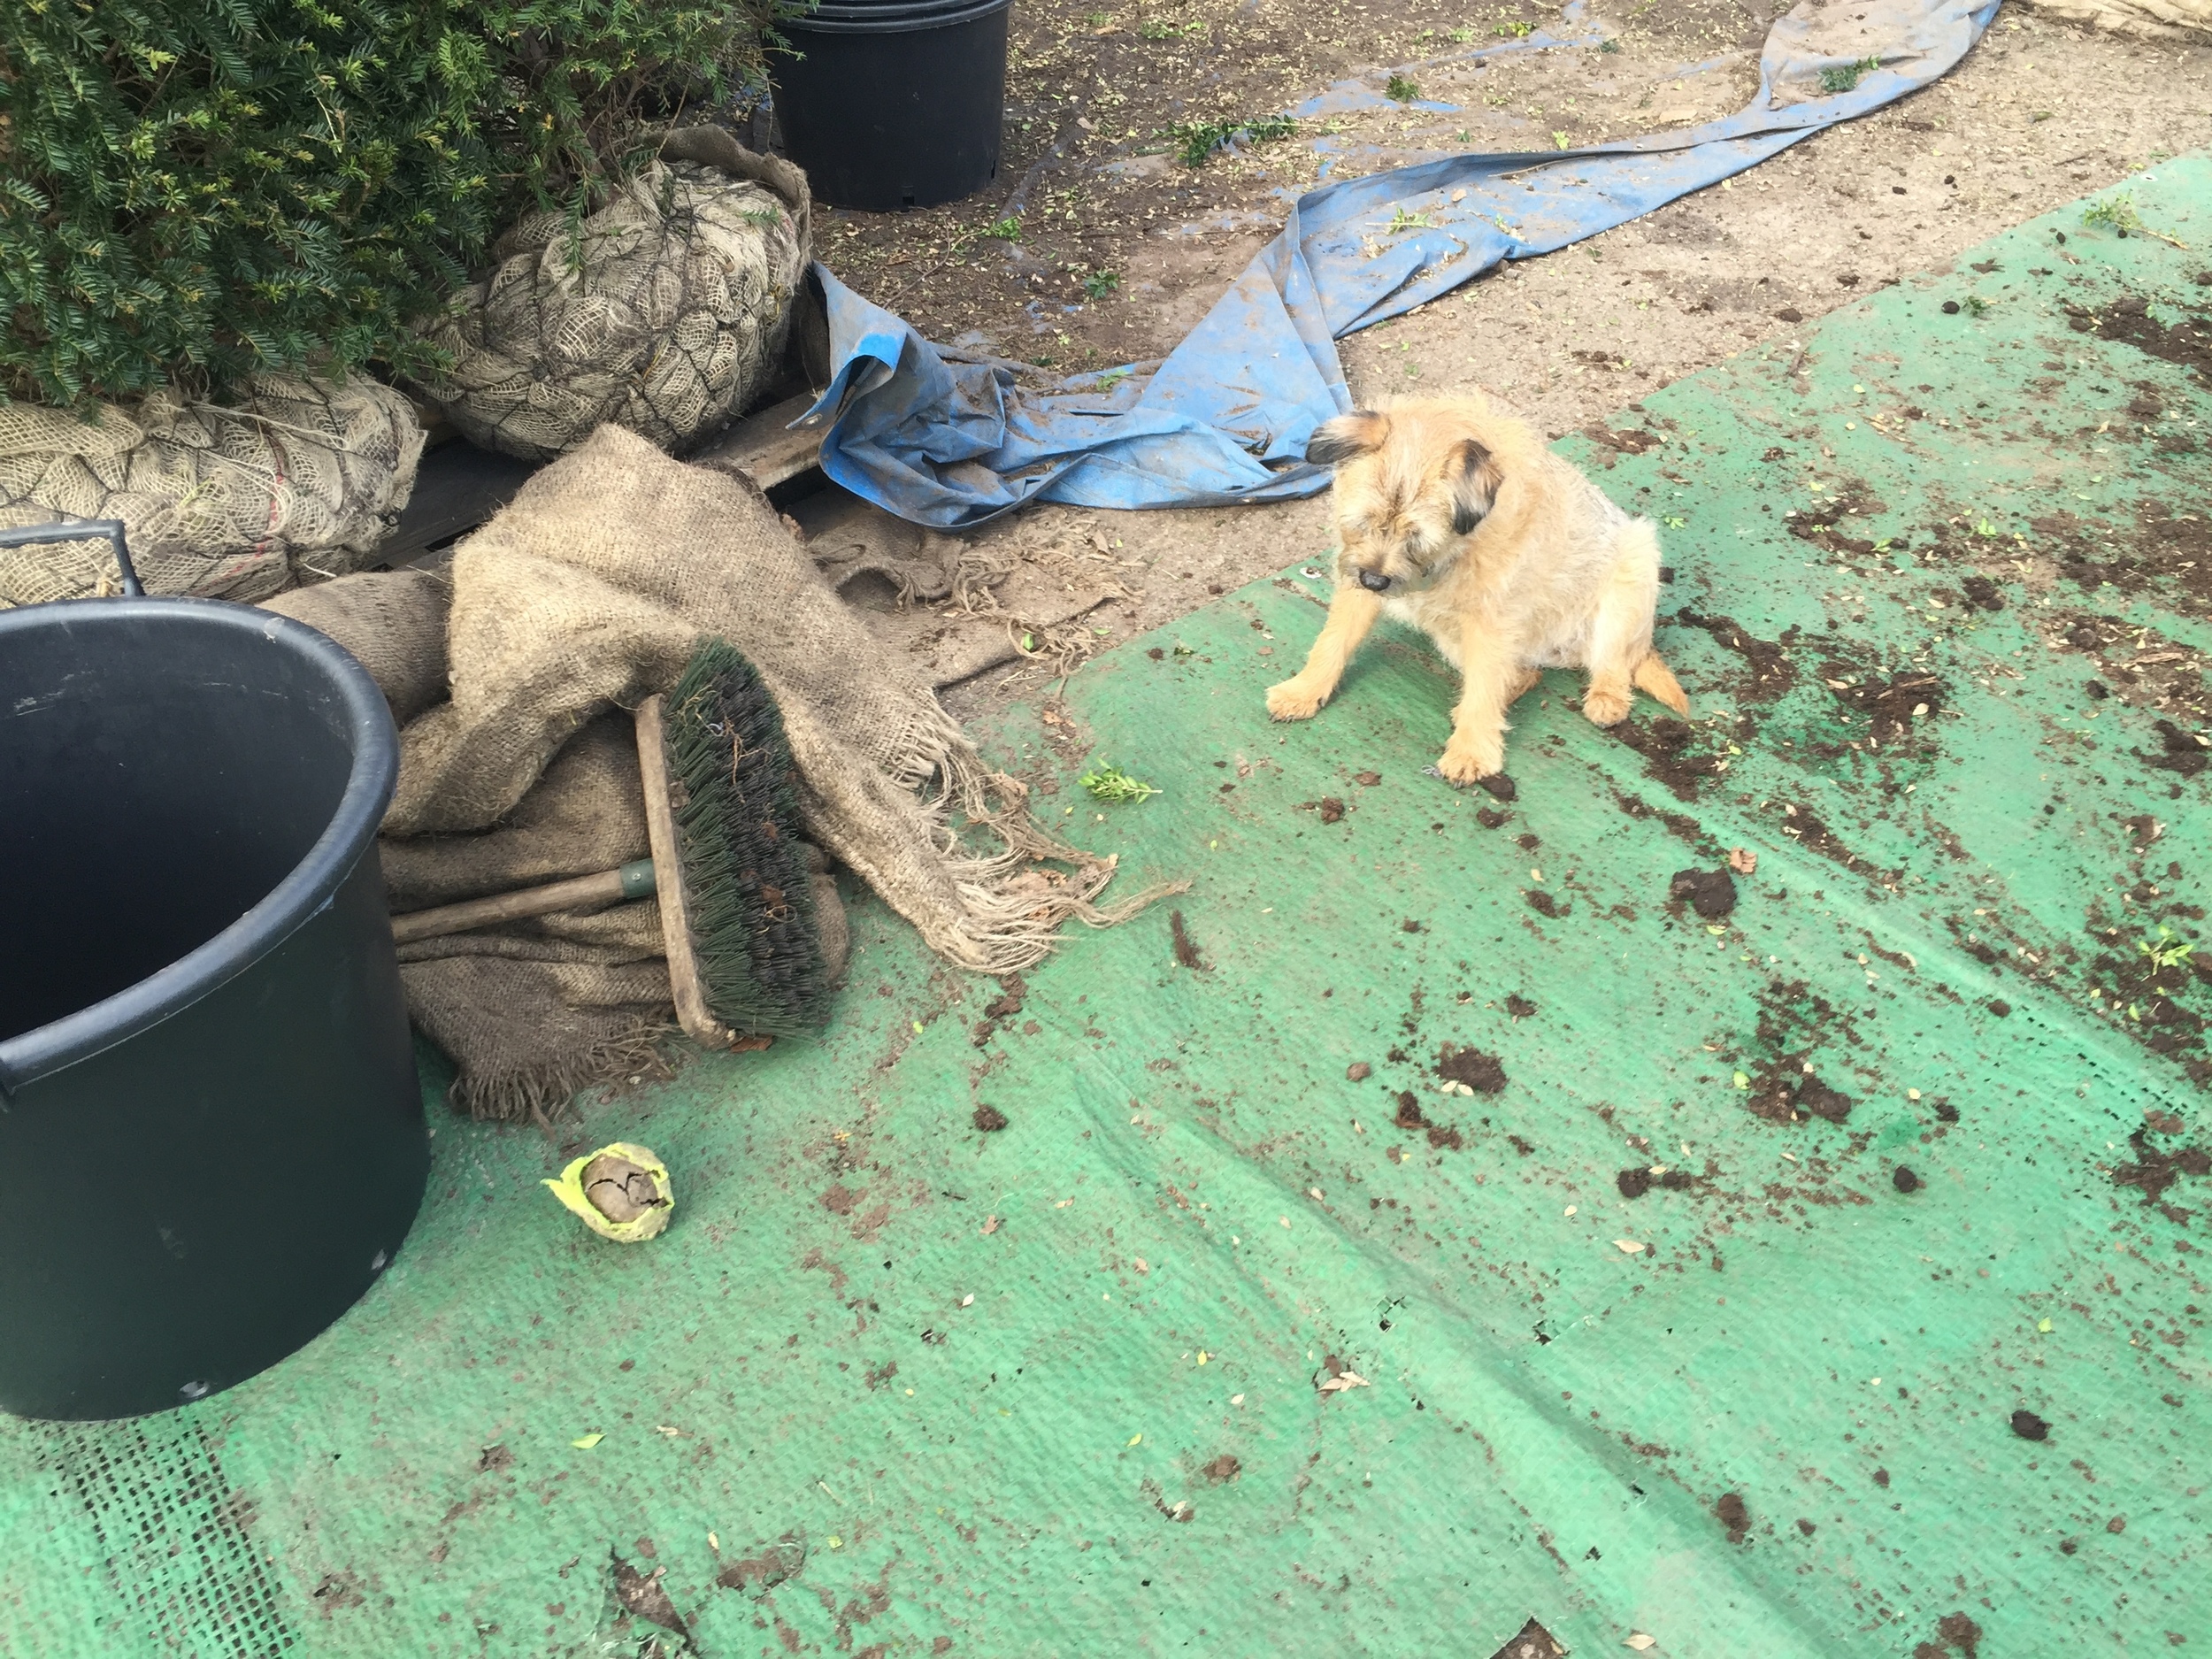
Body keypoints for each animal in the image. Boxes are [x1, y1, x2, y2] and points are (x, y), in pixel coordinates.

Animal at [1274, 391, 1681, 787]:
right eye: (1362, 522)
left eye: (1417, 538)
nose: (1375, 582)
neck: (1454, 551)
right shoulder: (1356, 580)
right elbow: (1334, 640)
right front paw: (1304, 690)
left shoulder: (1491, 623)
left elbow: (1484, 688)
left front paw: (1472, 753)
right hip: (1455, 637)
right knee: (1523, 676)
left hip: (1633, 571)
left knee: (1612, 662)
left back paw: (1606, 698)